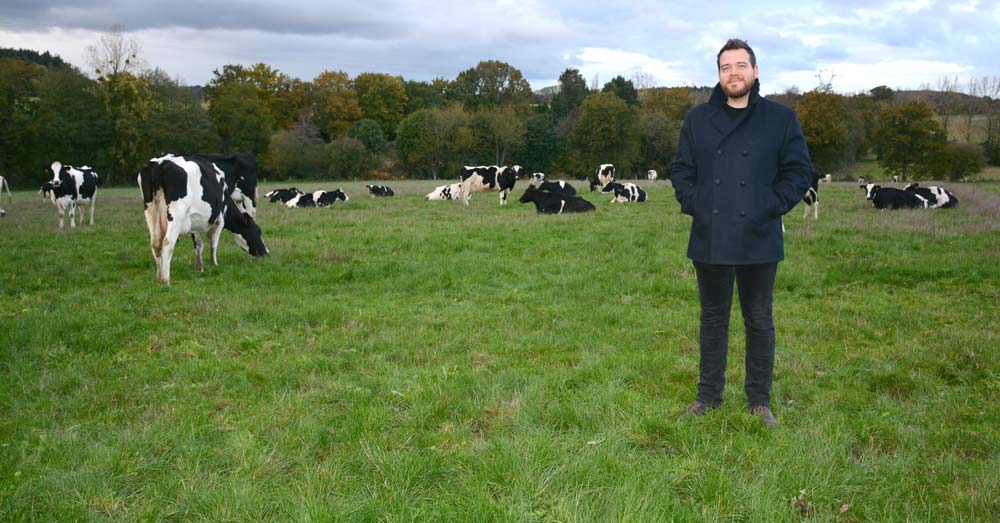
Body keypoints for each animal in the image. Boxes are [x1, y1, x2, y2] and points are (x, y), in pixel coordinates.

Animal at [139, 155, 270, 286]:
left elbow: (198, 244)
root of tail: (160, 162)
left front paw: (199, 267)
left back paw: (159, 277)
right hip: (177, 214)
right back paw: (165, 280)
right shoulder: (220, 218)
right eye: (258, 231)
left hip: (150, 211)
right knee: (167, 243)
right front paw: (214, 264)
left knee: (155, 243)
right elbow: (213, 242)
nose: (266, 253)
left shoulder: (194, 220)